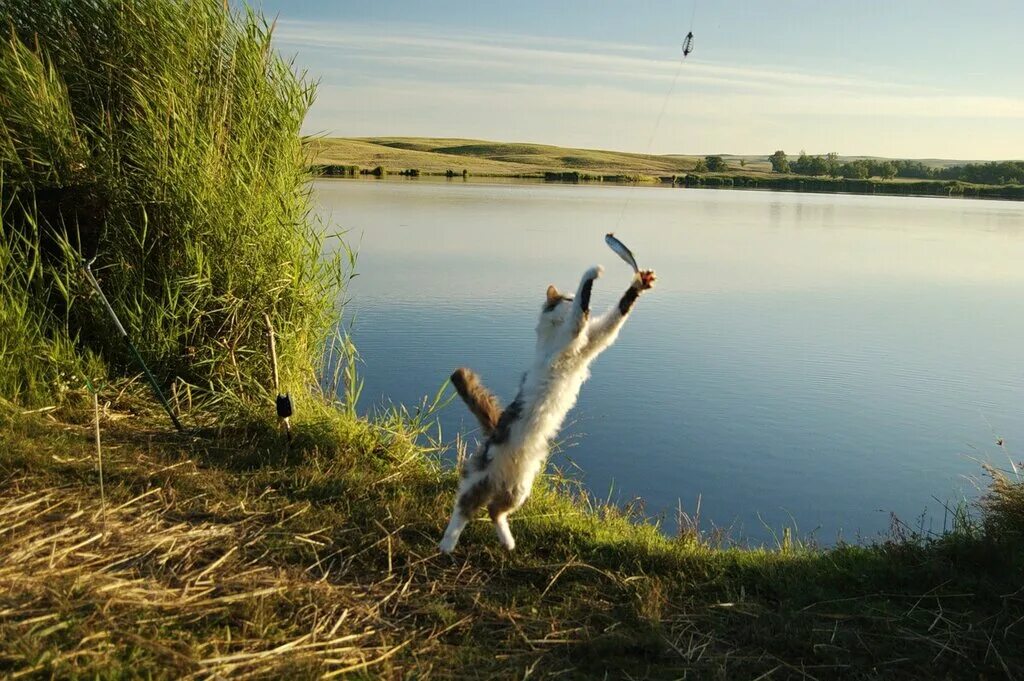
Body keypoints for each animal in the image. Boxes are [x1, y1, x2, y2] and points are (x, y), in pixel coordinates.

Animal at [438, 261, 655, 552]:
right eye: (567, 298)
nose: (571, 299)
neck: (555, 333)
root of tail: (493, 432)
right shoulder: (573, 334)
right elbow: (581, 310)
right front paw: (591, 274)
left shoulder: (593, 340)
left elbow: (615, 316)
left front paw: (638, 284)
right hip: (481, 480)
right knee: (463, 508)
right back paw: (447, 544)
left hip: (519, 489)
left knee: (495, 512)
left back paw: (508, 542)